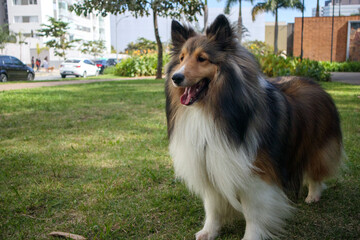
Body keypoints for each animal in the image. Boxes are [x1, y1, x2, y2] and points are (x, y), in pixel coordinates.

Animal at [165, 14, 344, 239]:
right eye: (181, 59)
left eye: (202, 58)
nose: (176, 77)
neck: (211, 111)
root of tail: (317, 85)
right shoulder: (210, 165)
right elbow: (213, 206)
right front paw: (209, 231)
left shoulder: (256, 175)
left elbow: (254, 212)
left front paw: (251, 236)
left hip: (317, 146)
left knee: (316, 172)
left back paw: (313, 195)